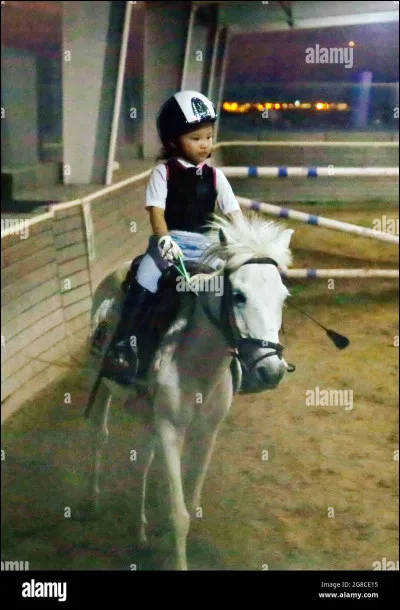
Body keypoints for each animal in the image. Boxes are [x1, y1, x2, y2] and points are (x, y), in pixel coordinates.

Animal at [83, 213, 294, 564]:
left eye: (283, 297)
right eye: (239, 295)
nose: (271, 371)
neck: (198, 360)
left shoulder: (208, 432)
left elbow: (191, 504)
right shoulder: (171, 430)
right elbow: (178, 515)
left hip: (147, 412)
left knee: (142, 459)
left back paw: (139, 531)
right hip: (101, 385)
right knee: (99, 435)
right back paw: (94, 501)